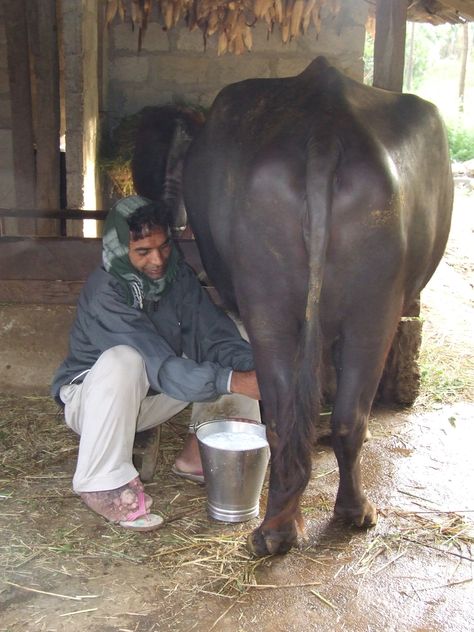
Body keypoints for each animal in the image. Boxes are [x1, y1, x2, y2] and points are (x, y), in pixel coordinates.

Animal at [183, 56, 454, 556]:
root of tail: (326, 129)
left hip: (270, 304)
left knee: (285, 418)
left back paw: (276, 530)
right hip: (375, 309)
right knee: (350, 417)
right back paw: (355, 512)